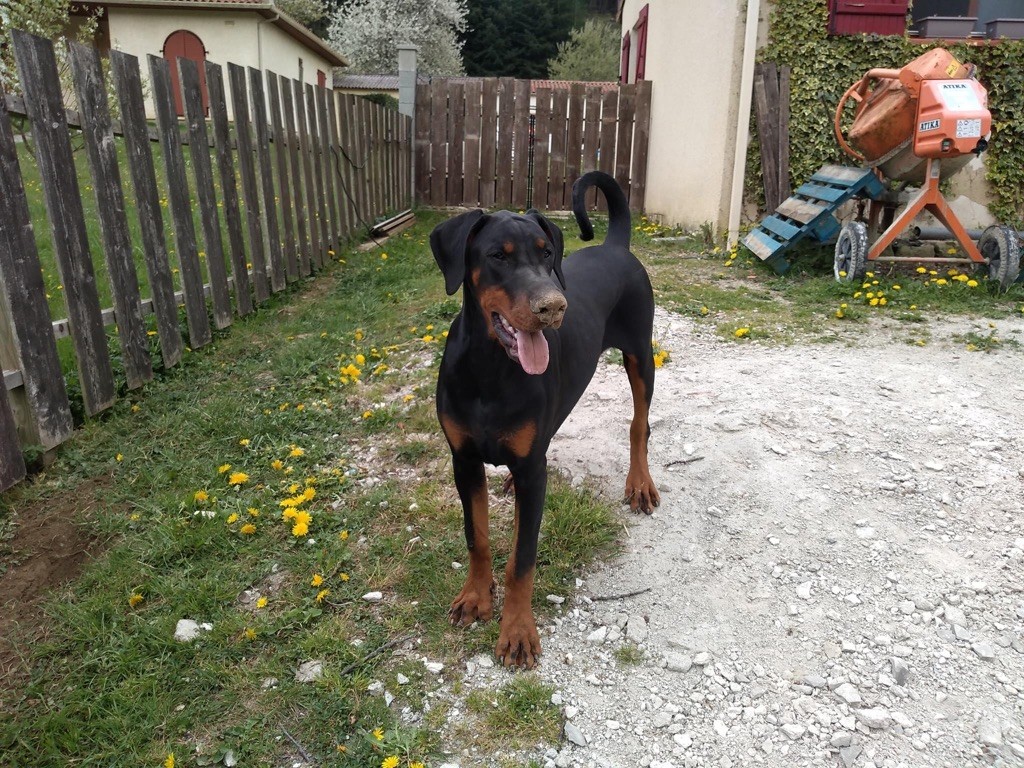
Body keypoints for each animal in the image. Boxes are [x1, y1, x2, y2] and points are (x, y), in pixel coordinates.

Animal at [430, 170, 660, 668]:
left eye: (547, 253)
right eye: (497, 256)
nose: (553, 307)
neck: (489, 370)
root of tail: (615, 246)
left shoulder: (533, 471)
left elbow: (523, 557)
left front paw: (516, 631)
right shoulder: (463, 460)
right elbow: (476, 536)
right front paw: (475, 598)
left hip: (641, 354)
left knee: (640, 424)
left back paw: (640, 484)